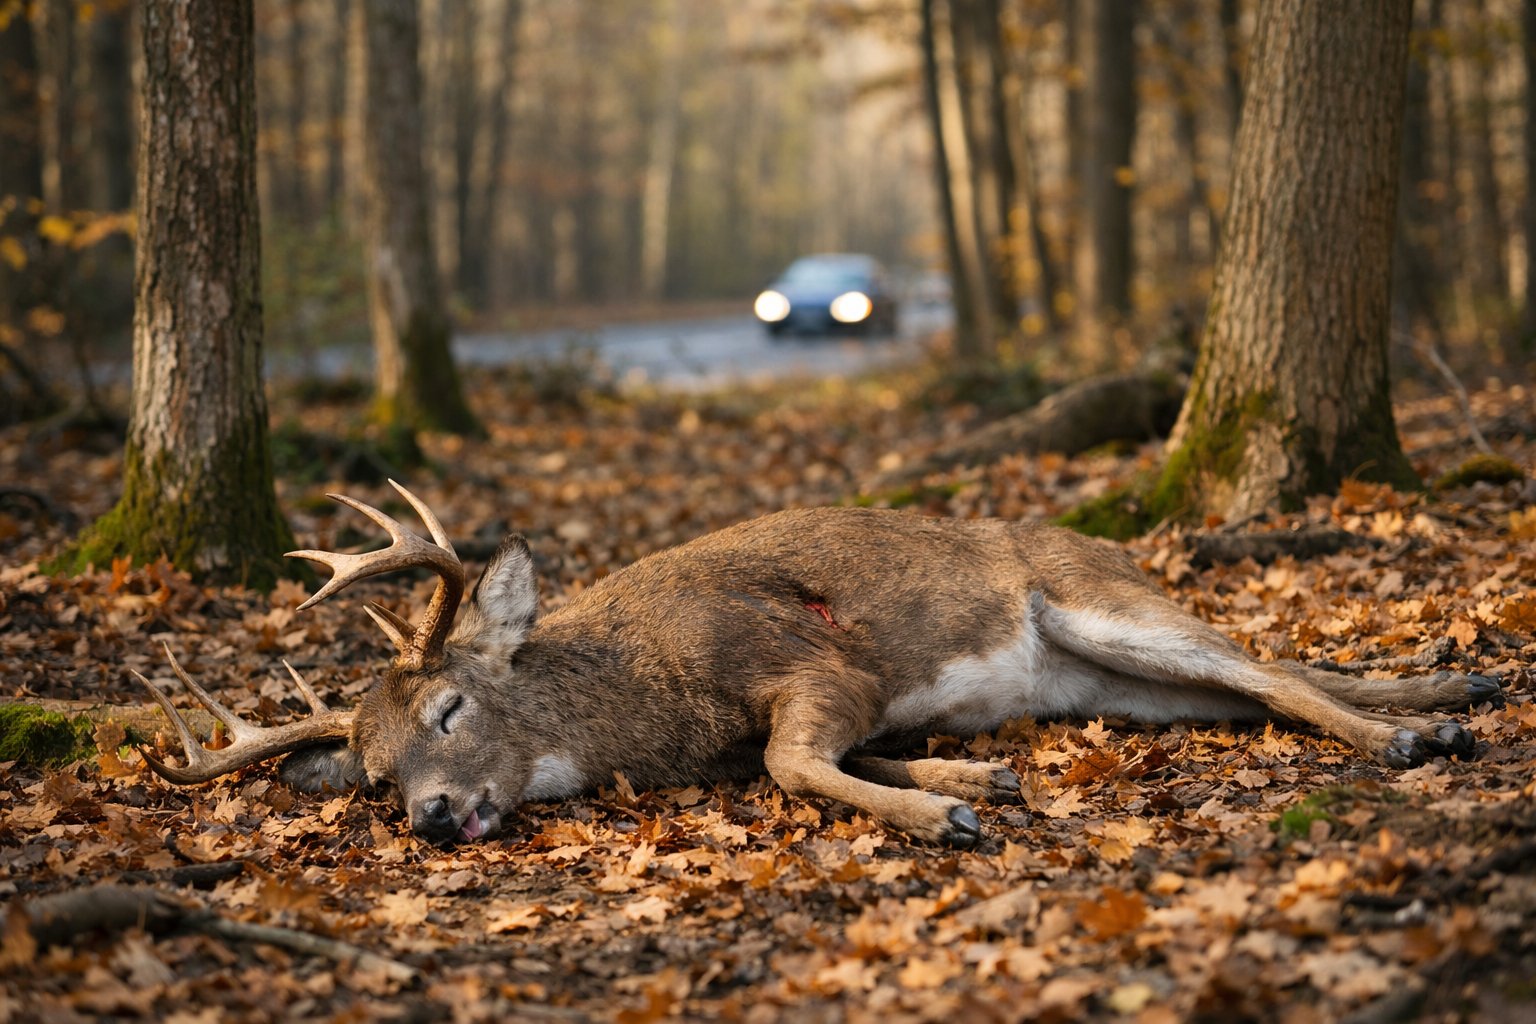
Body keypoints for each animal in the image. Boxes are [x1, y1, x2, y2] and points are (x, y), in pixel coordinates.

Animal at [133, 481, 1500, 848]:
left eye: (454, 706)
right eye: (368, 776)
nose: (426, 814)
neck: (647, 700)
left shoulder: (811, 663)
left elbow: (793, 761)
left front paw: (948, 811)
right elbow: (804, 761)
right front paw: (976, 785)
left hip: (1097, 601)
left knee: (1268, 674)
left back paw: (1408, 735)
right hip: (1105, 678)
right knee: (1256, 678)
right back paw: (1449, 690)